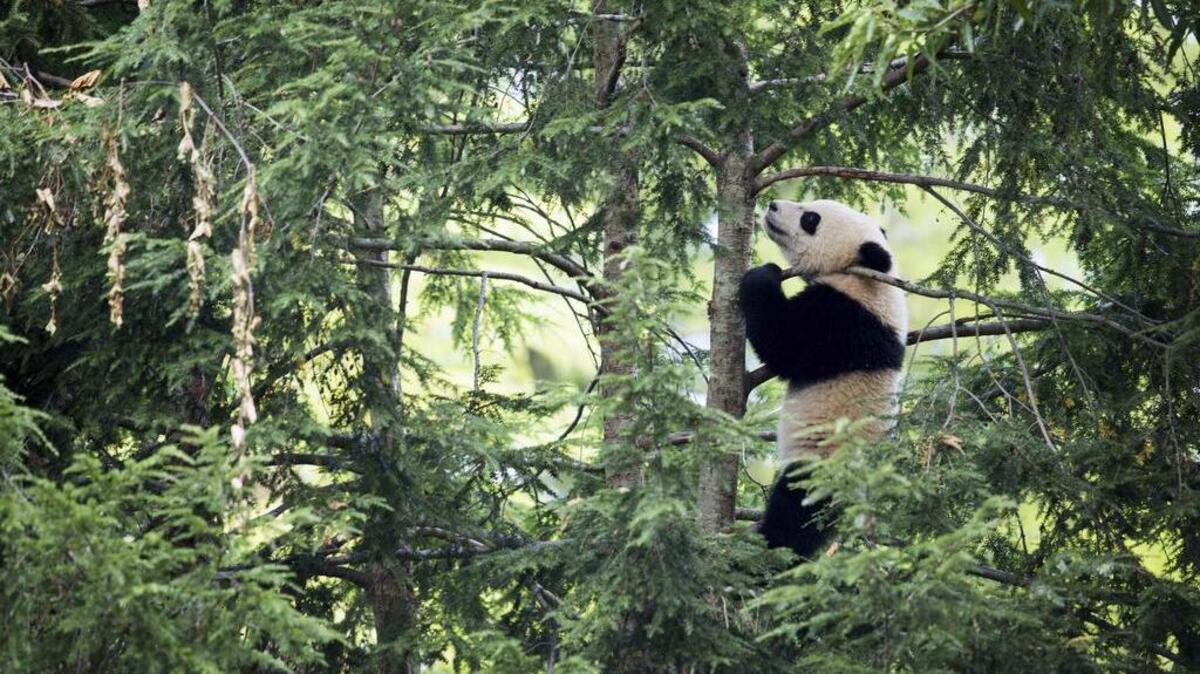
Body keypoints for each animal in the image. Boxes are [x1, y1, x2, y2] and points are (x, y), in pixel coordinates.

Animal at [739, 199, 908, 558]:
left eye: (810, 219)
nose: (772, 205)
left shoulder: (844, 319)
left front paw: (763, 274)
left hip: (823, 464)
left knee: (795, 515)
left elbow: (783, 344)